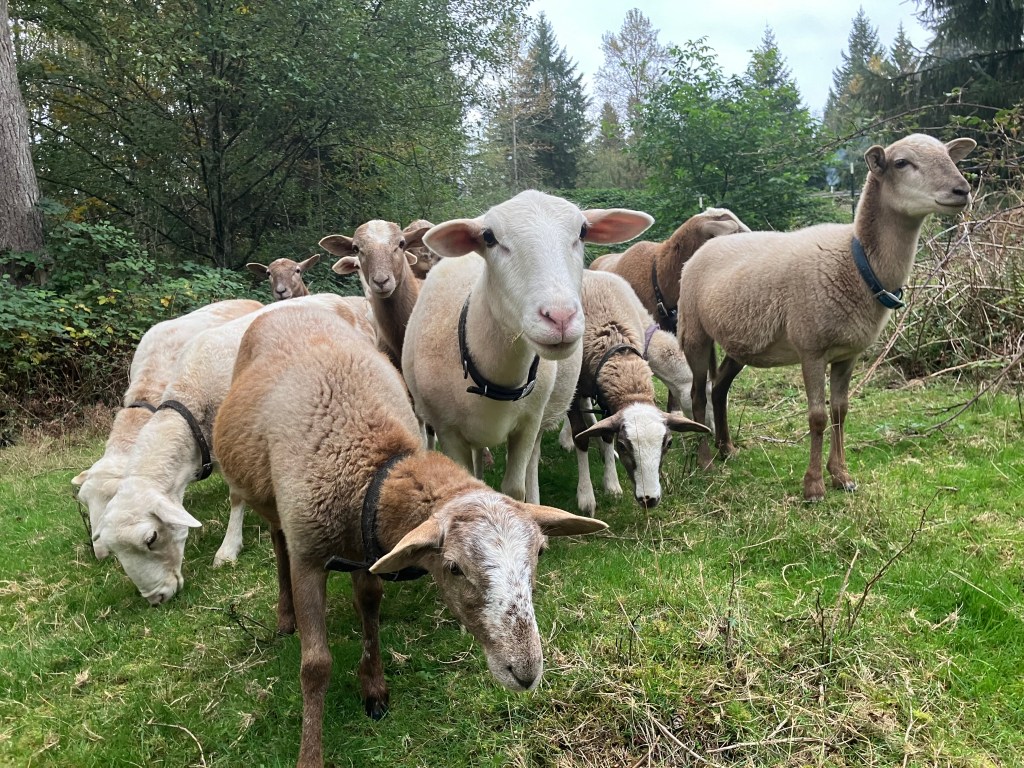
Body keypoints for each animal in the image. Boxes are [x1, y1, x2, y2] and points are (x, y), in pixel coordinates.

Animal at [92, 294, 372, 605]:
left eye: (151, 538)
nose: (156, 598)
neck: (192, 396)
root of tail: (337, 298)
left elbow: (236, 498)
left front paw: (228, 549)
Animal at [213, 301, 606, 767]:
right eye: (453, 568)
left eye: (540, 554)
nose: (526, 673)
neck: (369, 467)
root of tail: (291, 306)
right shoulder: (309, 557)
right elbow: (316, 666)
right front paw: (310, 754)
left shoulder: (365, 549)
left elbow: (369, 606)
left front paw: (374, 687)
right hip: (272, 504)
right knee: (277, 545)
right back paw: (285, 617)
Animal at [402, 190, 654, 502]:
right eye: (488, 237)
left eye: (583, 231)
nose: (560, 317)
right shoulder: (448, 432)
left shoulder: (527, 423)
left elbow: (515, 488)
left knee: (532, 461)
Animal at [566, 270, 709, 514]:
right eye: (624, 445)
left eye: (668, 443)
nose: (649, 499)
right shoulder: (574, 394)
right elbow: (580, 438)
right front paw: (586, 497)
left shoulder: (606, 400)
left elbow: (606, 434)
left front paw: (612, 484)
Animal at [679, 133, 975, 501]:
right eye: (902, 163)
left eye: (950, 157)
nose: (962, 190)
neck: (857, 261)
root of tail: (704, 249)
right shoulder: (811, 348)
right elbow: (818, 417)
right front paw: (814, 486)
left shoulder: (848, 353)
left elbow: (840, 411)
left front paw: (842, 475)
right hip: (694, 330)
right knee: (698, 393)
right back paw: (705, 459)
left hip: (741, 341)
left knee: (719, 388)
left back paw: (726, 448)